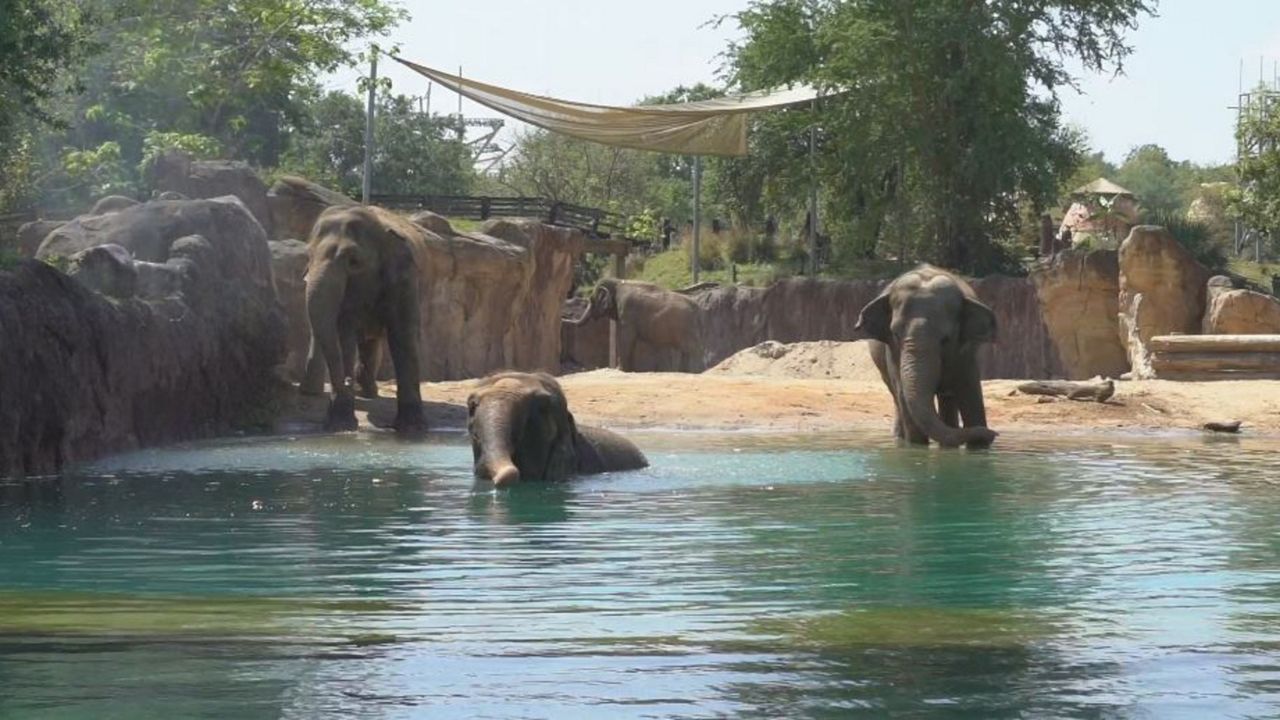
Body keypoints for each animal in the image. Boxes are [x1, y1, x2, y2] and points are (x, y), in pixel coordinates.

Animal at [299, 204, 430, 435]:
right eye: (309, 256)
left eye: (354, 262)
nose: (346, 381)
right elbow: (343, 334)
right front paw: (340, 425)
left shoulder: (405, 278)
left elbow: (403, 335)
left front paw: (412, 429)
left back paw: (367, 392)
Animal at [568, 275, 706, 368]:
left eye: (591, 300)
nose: (569, 316)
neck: (618, 281)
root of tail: (697, 307)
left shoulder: (627, 313)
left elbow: (626, 338)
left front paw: (622, 369)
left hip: (687, 328)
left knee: (694, 349)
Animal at [855, 263, 1003, 443]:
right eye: (895, 334)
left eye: (945, 339)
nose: (994, 433)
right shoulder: (893, 352)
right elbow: (904, 395)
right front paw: (916, 445)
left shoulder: (965, 353)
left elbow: (970, 392)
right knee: (896, 395)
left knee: (947, 397)